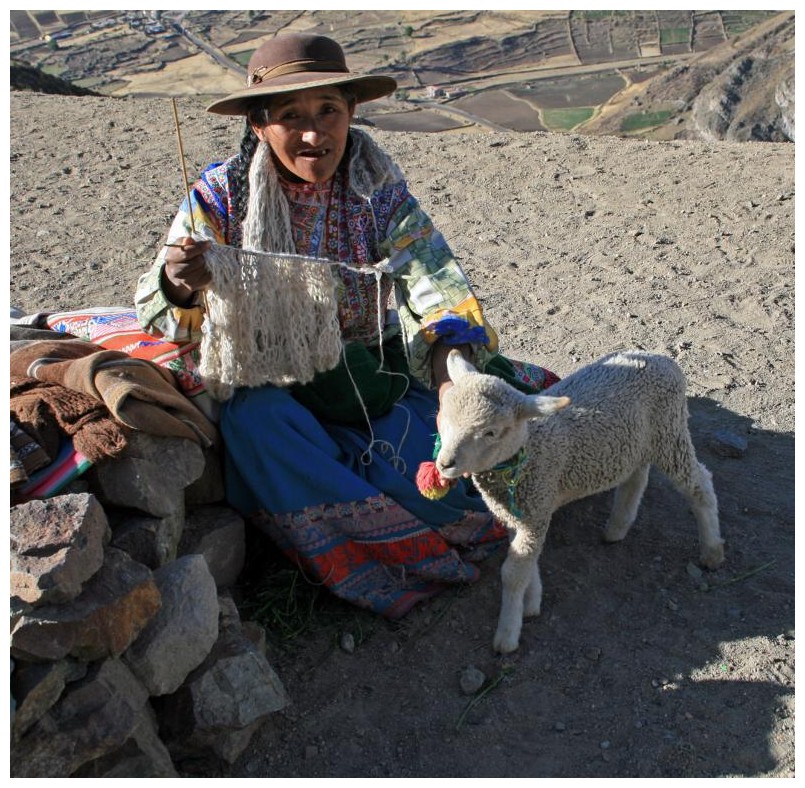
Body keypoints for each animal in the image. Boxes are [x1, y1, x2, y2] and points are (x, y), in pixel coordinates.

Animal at [436, 350, 724, 652]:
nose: (445, 463)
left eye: (491, 432)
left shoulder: (536, 508)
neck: (527, 454)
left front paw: (508, 634)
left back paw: (712, 551)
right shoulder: (522, 514)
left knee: (699, 485)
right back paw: (617, 528)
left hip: (670, 432)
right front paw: (532, 601)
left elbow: (514, 573)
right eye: (444, 415)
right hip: (637, 442)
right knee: (636, 477)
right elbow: (528, 561)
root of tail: (661, 358)